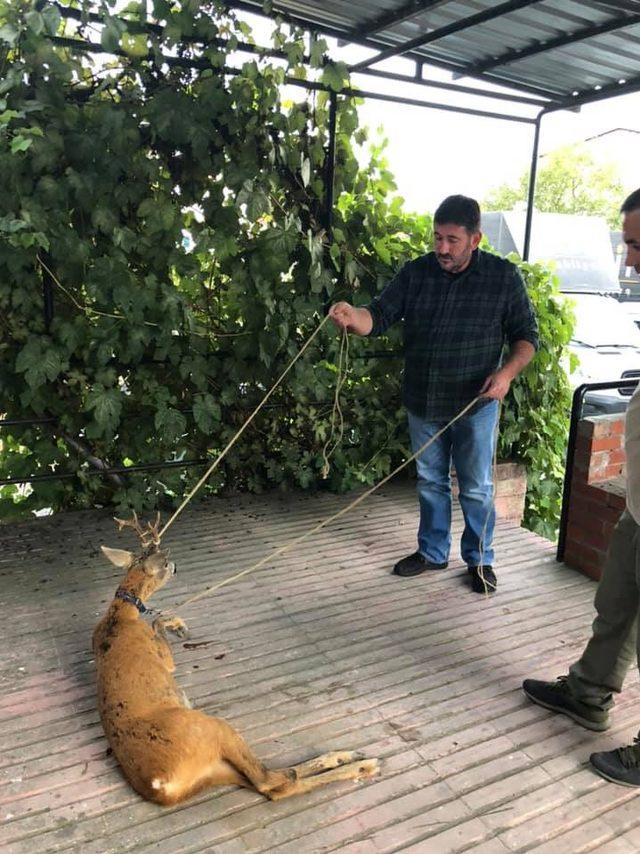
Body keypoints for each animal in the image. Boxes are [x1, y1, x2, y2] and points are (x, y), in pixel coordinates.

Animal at [92, 516, 378, 808]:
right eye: (164, 562)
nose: (176, 566)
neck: (120, 615)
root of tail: (160, 785)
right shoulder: (161, 654)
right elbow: (158, 622)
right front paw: (181, 626)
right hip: (212, 728)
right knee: (274, 778)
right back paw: (361, 762)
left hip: (212, 770)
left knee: (273, 787)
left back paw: (351, 760)